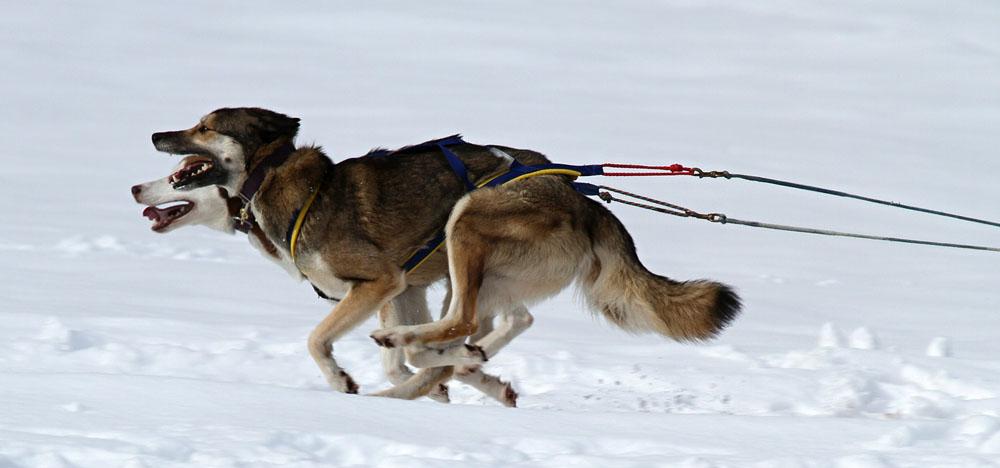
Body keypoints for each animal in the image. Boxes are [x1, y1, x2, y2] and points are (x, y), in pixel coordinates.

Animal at [150, 108, 744, 400]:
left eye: (205, 127)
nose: (157, 136)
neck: (279, 183)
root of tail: (580, 196)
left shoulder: (380, 283)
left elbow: (320, 341)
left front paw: (343, 380)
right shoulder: (403, 289)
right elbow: (403, 362)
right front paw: (448, 376)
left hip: (467, 223)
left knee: (462, 321)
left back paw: (429, 360)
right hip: (481, 270)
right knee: (495, 323)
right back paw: (453, 367)